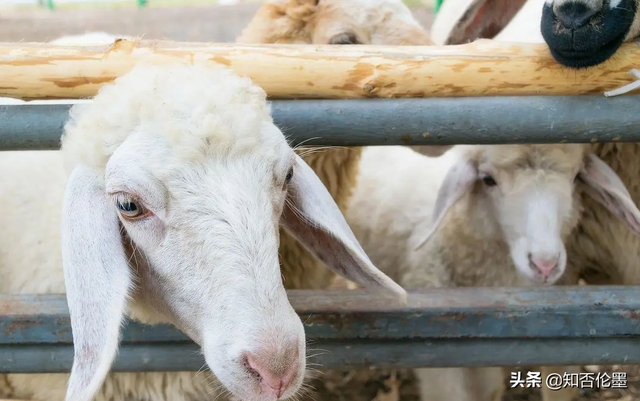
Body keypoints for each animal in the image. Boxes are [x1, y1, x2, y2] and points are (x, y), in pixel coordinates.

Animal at [348, 144, 640, 400]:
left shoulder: (488, 336)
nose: (545, 264)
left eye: (576, 176)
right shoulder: (432, 347)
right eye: (488, 180)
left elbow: (488, 390)